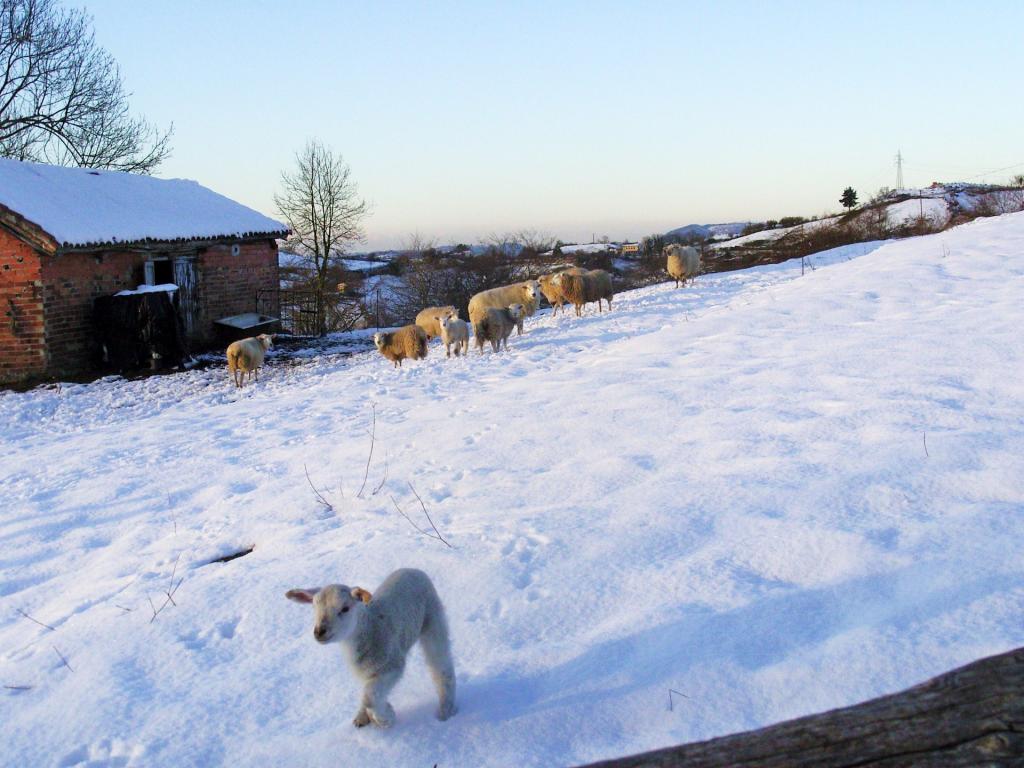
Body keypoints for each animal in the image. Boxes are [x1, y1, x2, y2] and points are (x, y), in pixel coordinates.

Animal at [282, 569, 454, 729]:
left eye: (345, 608)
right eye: (314, 606)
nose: (319, 632)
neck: (370, 629)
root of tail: (413, 569)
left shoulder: (392, 665)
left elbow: (369, 698)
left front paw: (386, 717)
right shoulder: (366, 671)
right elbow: (367, 693)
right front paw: (363, 717)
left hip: (433, 618)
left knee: (442, 667)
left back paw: (446, 711)